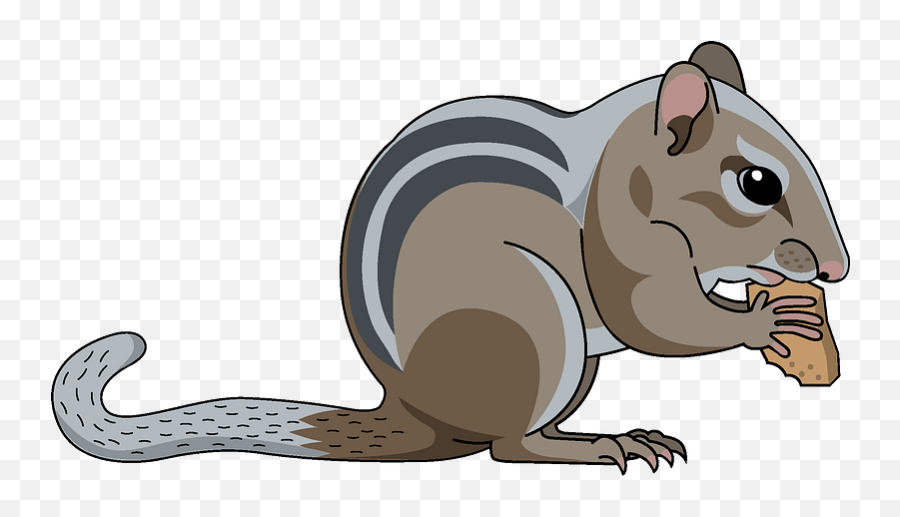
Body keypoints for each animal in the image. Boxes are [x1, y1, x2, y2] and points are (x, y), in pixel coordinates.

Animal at [52, 42, 849, 472]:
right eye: (756, 183)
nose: (837, 269)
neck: (629, 160)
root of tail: (415, 412)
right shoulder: (624, 236)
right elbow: (655, 318)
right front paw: (767, 321)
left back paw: (608, 433)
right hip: (533, 327)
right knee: (510, 448)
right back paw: (593, 447)